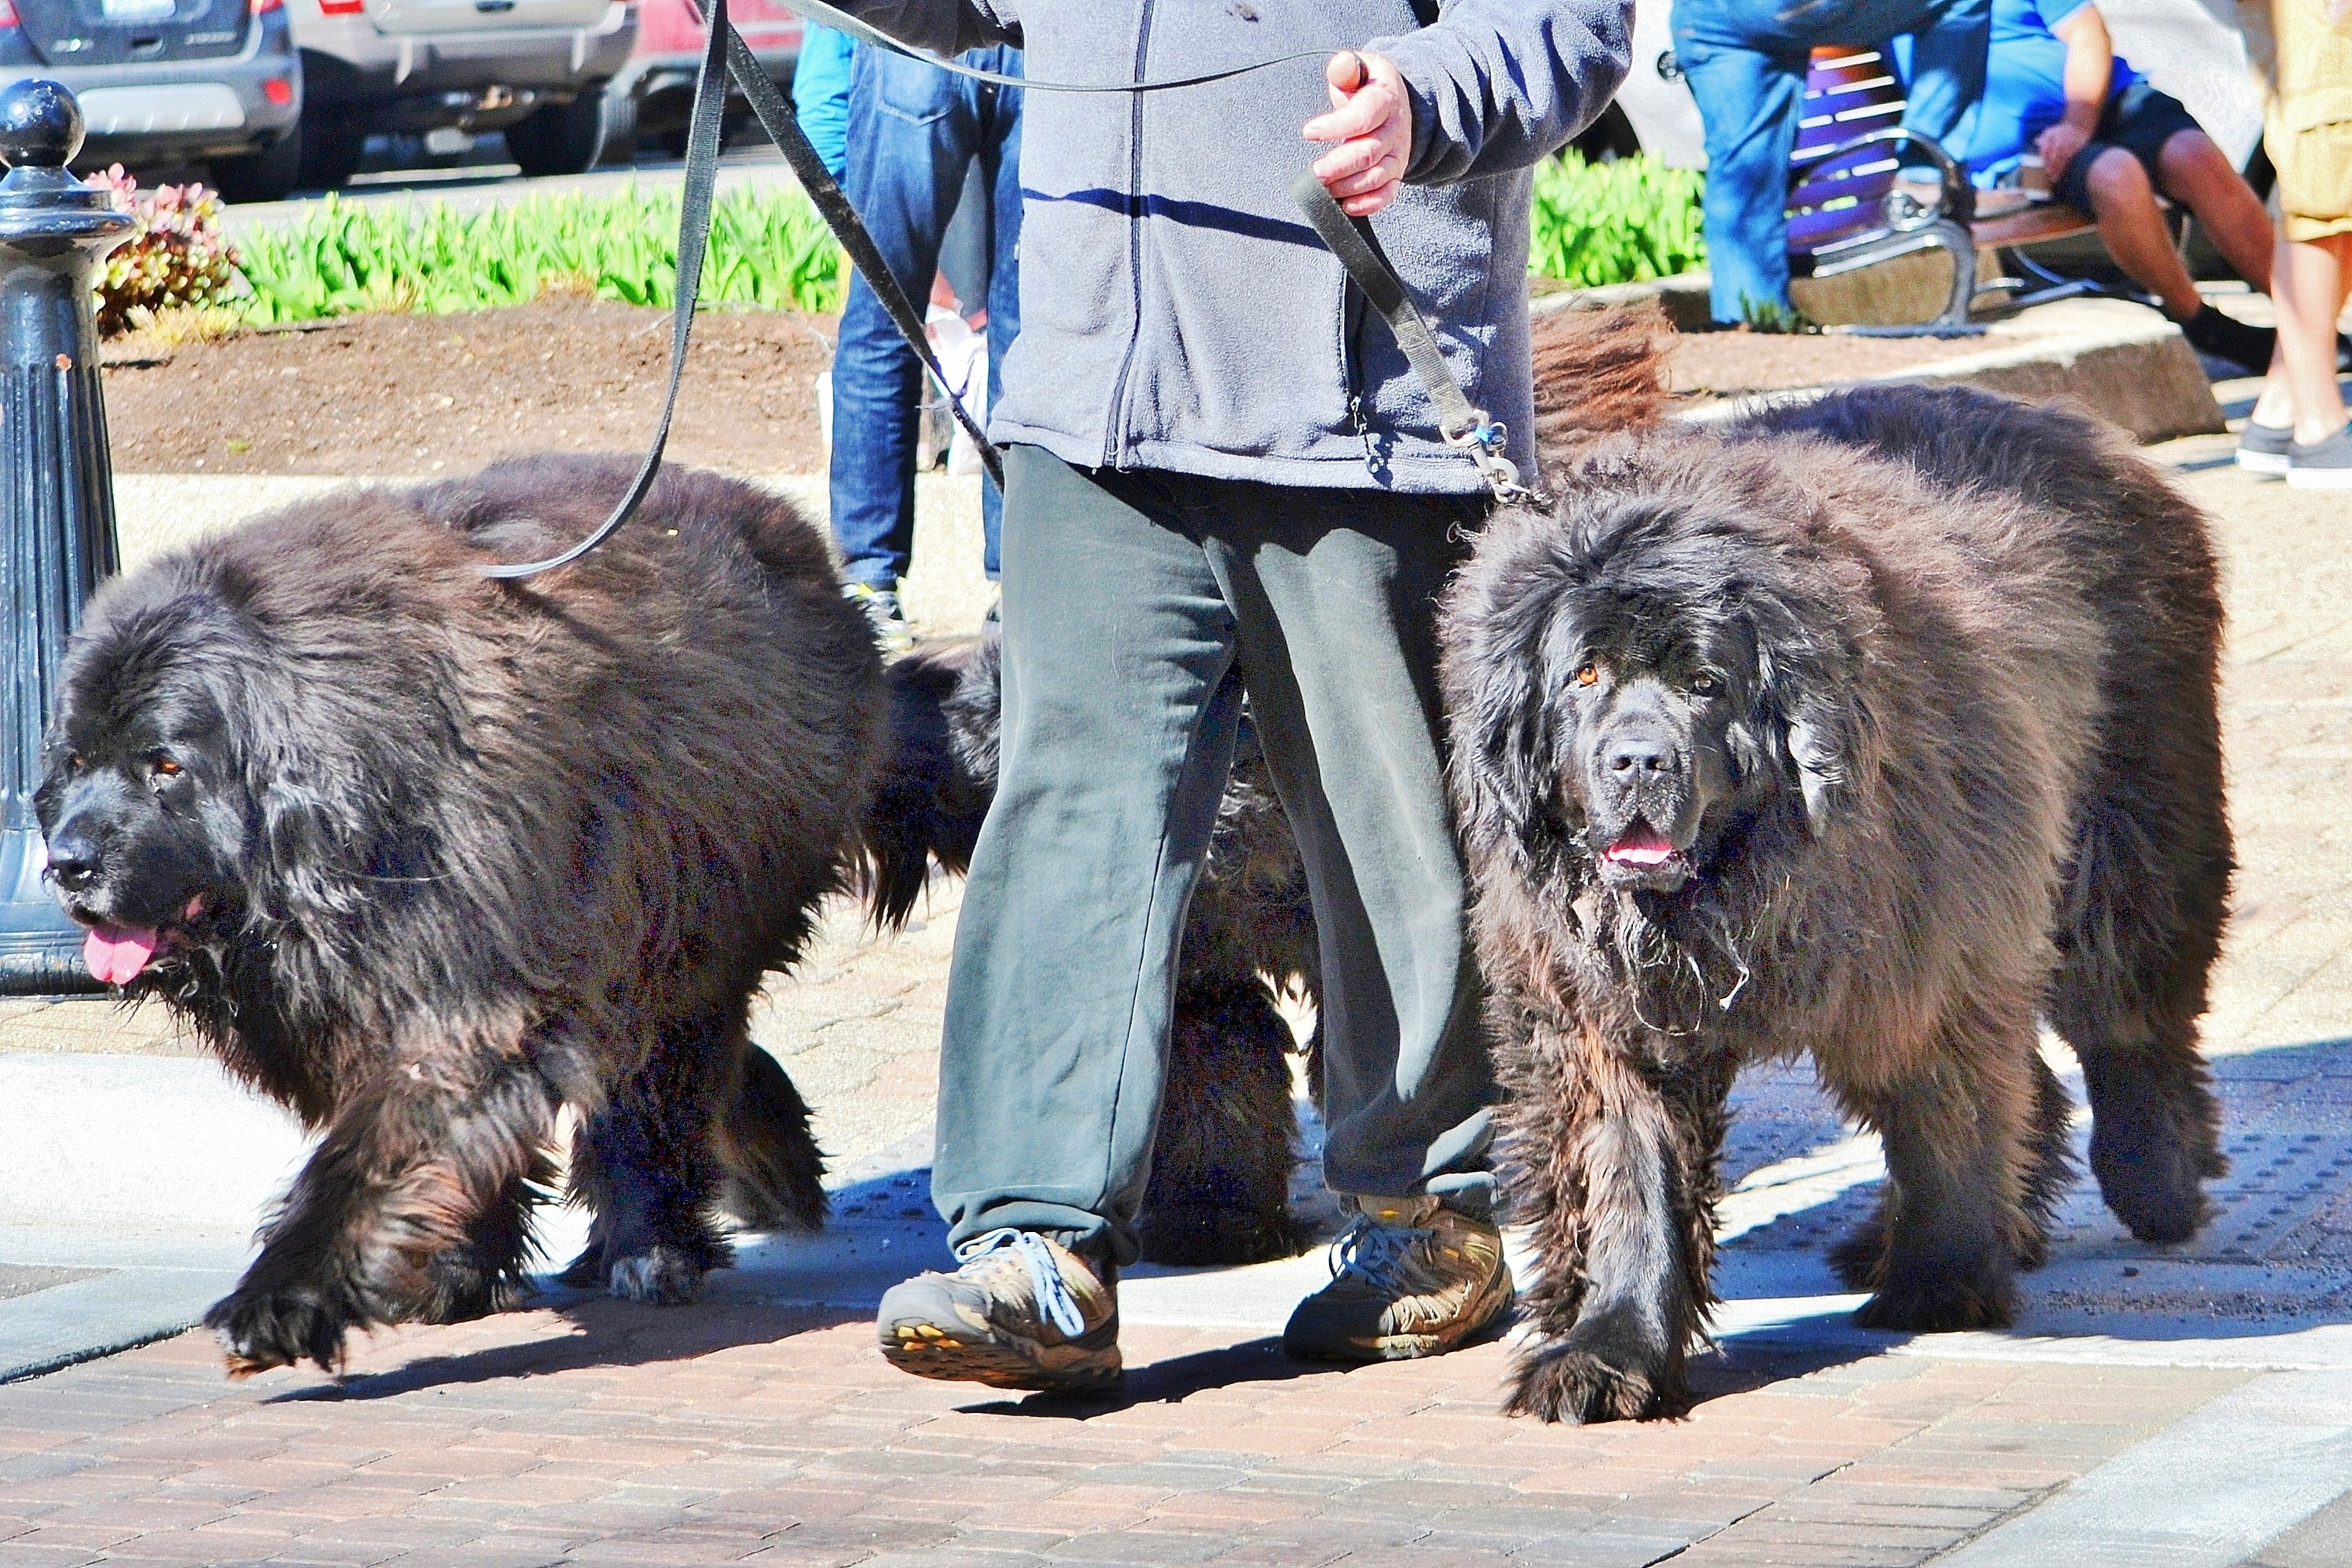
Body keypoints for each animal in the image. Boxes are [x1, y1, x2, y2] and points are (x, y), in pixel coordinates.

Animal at [37, 454, 884, 1373]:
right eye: (74, 762)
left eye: (165, 765)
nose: (65, 863)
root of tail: (794, 533)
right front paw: (456, 1268)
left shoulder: (465, 988)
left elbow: (371, 1152)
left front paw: (280, 1296)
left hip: (689, 924)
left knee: (658, 1084)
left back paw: (647, 1246)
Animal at [1439, 375, 2229, 1420]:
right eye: (1584, 675)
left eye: (1704, 681)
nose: (1638, 760)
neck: (1726, 886)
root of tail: (2071, 424)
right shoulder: (1603, 1006)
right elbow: (1627, 1177)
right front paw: (1609, 1349)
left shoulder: (1927, 947)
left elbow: (1946, 1117)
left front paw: (1940, 1279)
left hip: (2126, 821)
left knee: (2129, 1013)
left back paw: (2156, 1177)